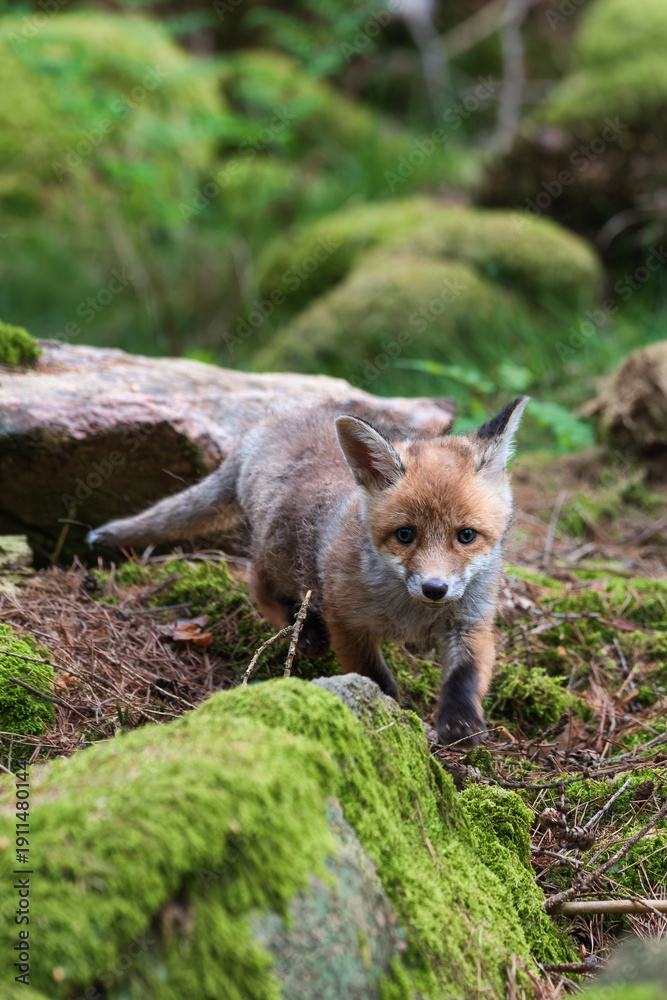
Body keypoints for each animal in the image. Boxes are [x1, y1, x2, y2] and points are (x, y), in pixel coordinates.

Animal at [88, 395, 529, 747]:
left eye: (466, 535)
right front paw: (392, 713)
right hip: (277, 554)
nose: (435, 588)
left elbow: (466, 675)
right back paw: (305, 633)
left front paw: (460, 724)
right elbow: (374, 677)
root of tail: (268, 422)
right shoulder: (347, 621)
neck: (413, 615)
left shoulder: (471, 621)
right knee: (260, 586)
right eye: (406, 535)